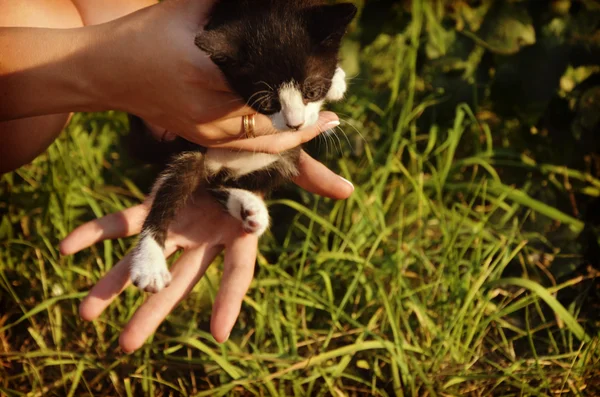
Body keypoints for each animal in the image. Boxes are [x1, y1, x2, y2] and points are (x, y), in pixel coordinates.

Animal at [130, 0, 356, 290]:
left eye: (312, 91)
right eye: (266, 103)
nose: (295, 125)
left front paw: (337, 80)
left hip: (283, 159)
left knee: (221, 183)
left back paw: (248, 206)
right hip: (192, 153)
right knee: (172, 190)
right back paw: (149, 263)